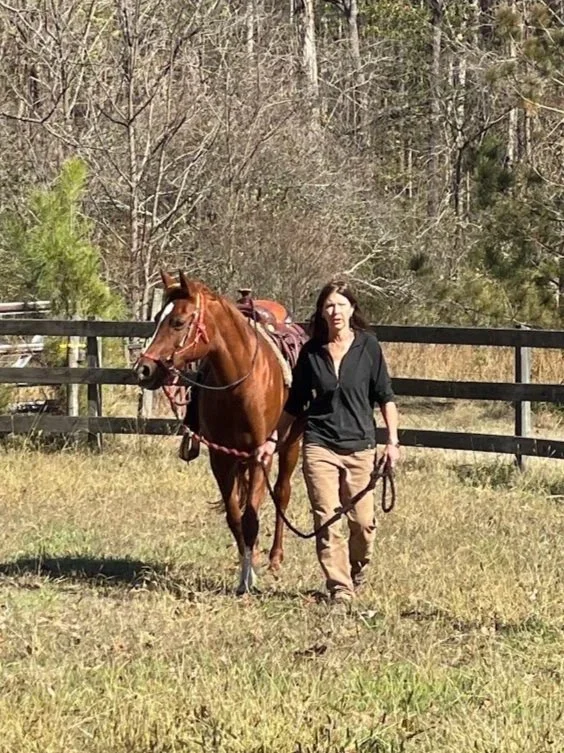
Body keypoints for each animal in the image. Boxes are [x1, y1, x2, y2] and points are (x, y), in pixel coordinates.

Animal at [133, 271, 304, 594]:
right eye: (157, 319)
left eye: (178, 322)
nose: (144, 370)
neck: (240, 383)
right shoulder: (221, 459)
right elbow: (235, 517)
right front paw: (245, 572)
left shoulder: (260, 457)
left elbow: (251, 518)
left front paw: (250, 580)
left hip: (291, 444)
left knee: (282, 493)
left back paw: (275, 558)